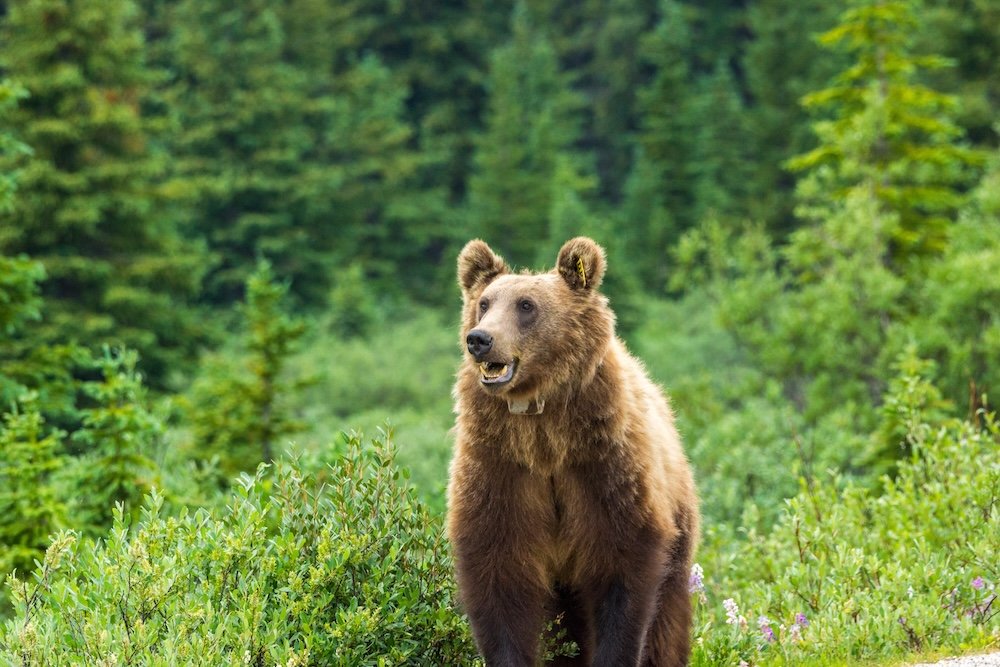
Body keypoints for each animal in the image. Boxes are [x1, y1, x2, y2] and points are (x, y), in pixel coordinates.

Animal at [447, 237, 700, 667]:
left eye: (526, 305)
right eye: (484, 302)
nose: (479, 339)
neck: (545, 436)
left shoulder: (604, 465)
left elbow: (623, 570)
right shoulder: (500, 466)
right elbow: (499, 576)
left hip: (679, 521)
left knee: (667, 619)